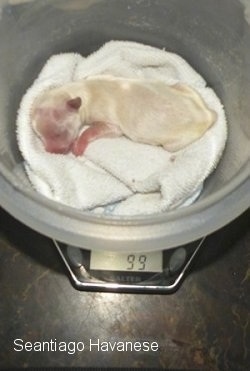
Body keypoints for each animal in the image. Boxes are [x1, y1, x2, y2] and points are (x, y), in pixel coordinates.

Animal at [30, 76, 217, 155]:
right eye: (40, 136)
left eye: (59, 133)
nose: (53, 152)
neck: (84, 90)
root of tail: (207, 114)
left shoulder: (112, 125)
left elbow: (90, 131)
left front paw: (78, 146)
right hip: (185, 88)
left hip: (175, 144)